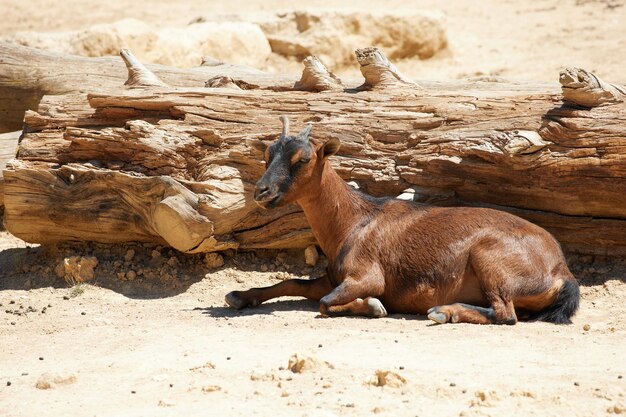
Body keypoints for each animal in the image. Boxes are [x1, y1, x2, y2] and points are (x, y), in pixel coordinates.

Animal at [222, 117, 576, 324]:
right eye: (267, 155)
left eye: (303, 158)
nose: (261, 191)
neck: (354, 221)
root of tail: (562, 272)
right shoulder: (332, 277)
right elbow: (293, 282)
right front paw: (239, 295)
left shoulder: (366, 277)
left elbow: (324, 302)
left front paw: (373, 307)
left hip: (490, 259)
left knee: (506, 313)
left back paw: (442, 311)